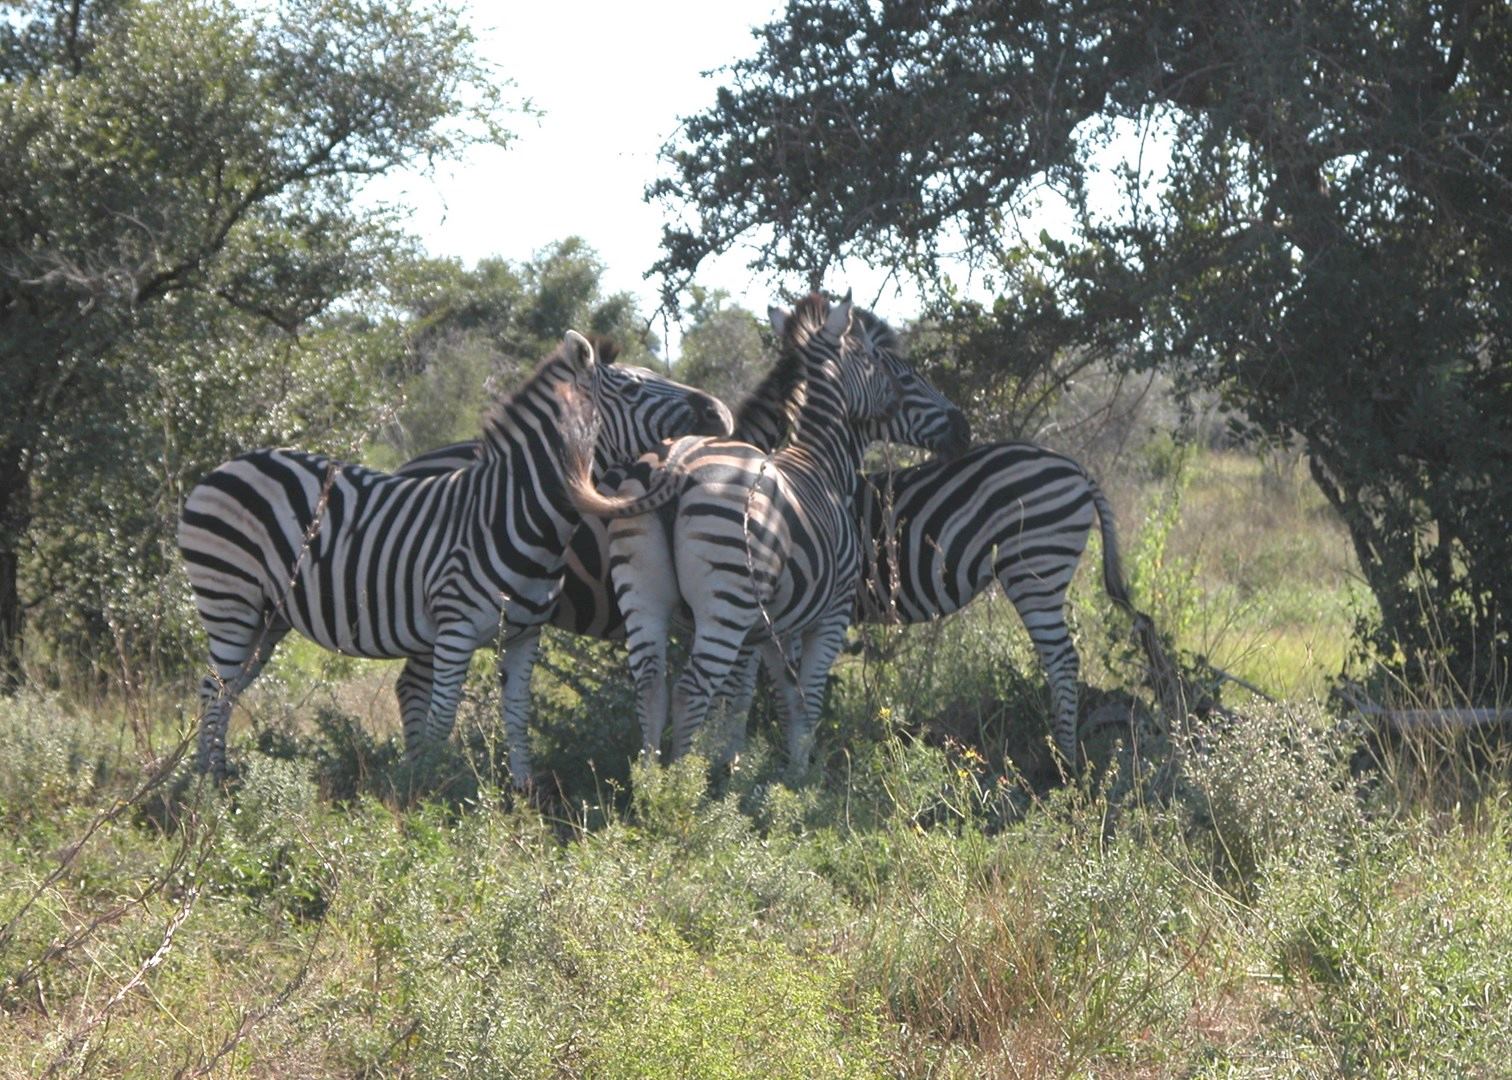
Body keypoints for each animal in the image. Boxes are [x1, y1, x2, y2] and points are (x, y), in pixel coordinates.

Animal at [176, 329, 731, 780]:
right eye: (634, 388)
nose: (721, 412)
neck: (518, 516)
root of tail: (226, 465)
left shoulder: (524, 637)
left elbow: (517, 719)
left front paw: (521, 803)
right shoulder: (455, 631)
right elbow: (442, 721)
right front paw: (429, 800)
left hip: (268, 617)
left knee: (228, 690)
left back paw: (216, 783)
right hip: (229, 599)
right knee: (211, 687)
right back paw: (209, 791)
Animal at [562, 290, 961, 768]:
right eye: (884, 364)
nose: (962, 426)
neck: (820, 461)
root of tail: (676, 461)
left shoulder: (768, 630)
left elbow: (768, 697)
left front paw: (744, 766)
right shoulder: (829, 614)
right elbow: (807, 696)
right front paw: (801, 772)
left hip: (643, 589)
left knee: (651, 685)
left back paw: (651, 779)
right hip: (726, 598)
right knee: (690, 690)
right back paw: (682, 782)